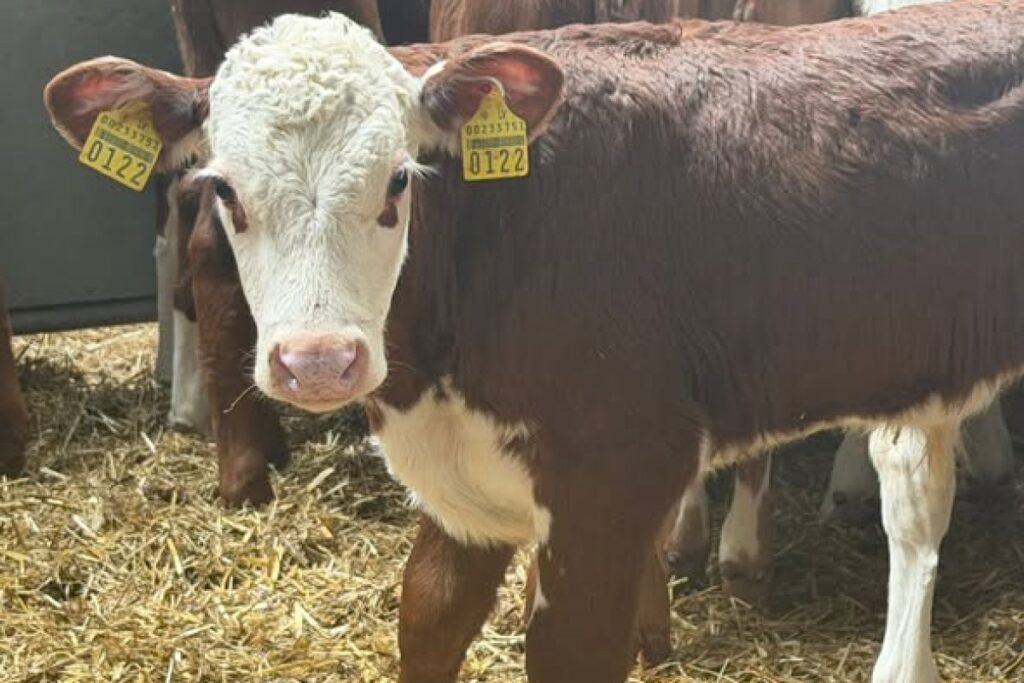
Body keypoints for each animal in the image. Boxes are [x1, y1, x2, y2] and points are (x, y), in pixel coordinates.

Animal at [45, 1, 1024, 681]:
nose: (318, 360)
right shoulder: (463, 481)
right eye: (225, 189)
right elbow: (427, 618)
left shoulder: (612, 477)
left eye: (399, 180)